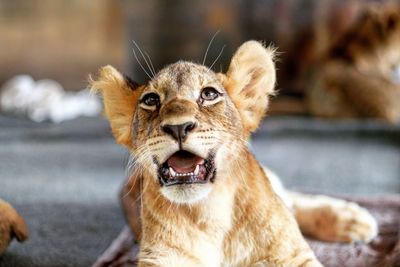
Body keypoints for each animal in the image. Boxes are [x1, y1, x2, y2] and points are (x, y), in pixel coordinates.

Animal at [92, 40, 376, 266]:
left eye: (209, 94)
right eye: (151, 100)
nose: (178, 127)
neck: (210, 212)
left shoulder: (292, 256)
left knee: (288, 199)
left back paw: (351, 218)